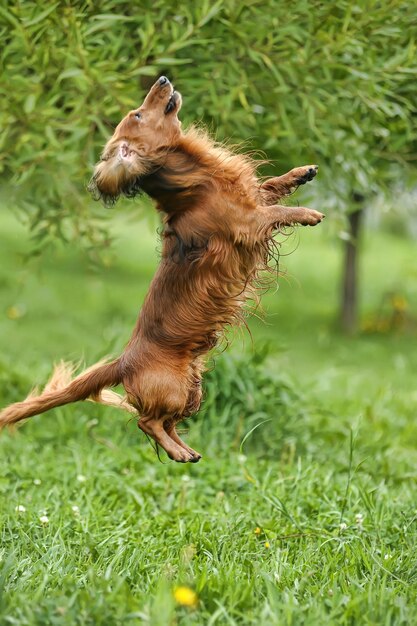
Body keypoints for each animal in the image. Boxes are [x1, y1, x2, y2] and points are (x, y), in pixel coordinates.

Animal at [0, 75, 324, 460]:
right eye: (138, 114)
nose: (163, 78)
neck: (199, 180)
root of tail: (123, 362)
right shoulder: (248, 222)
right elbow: (278, 211)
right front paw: (308, 213)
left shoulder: (253, 199)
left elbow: (271, 187)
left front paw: (301, 173)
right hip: (171, 389)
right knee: (148, 421)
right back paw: (178, 452)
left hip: (192, 390)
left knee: (167, 423)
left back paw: (186, 450)